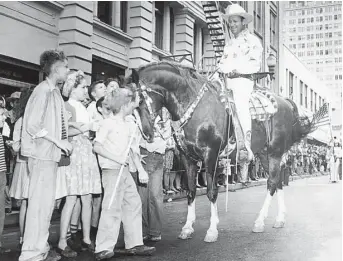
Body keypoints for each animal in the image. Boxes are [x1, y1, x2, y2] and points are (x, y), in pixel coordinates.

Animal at [127, 61, 316, 242]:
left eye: (140, 101)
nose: (146, 134)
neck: (195, 105)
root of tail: (285, 102)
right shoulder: (188, 158)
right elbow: (191, 190)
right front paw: (187, 228)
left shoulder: (210, 154)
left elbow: (212, 191)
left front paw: (212, 231)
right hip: (264, 154)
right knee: (277, 182)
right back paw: (279, 219)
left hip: (274, 152)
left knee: (272, 183)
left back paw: (260, 221)